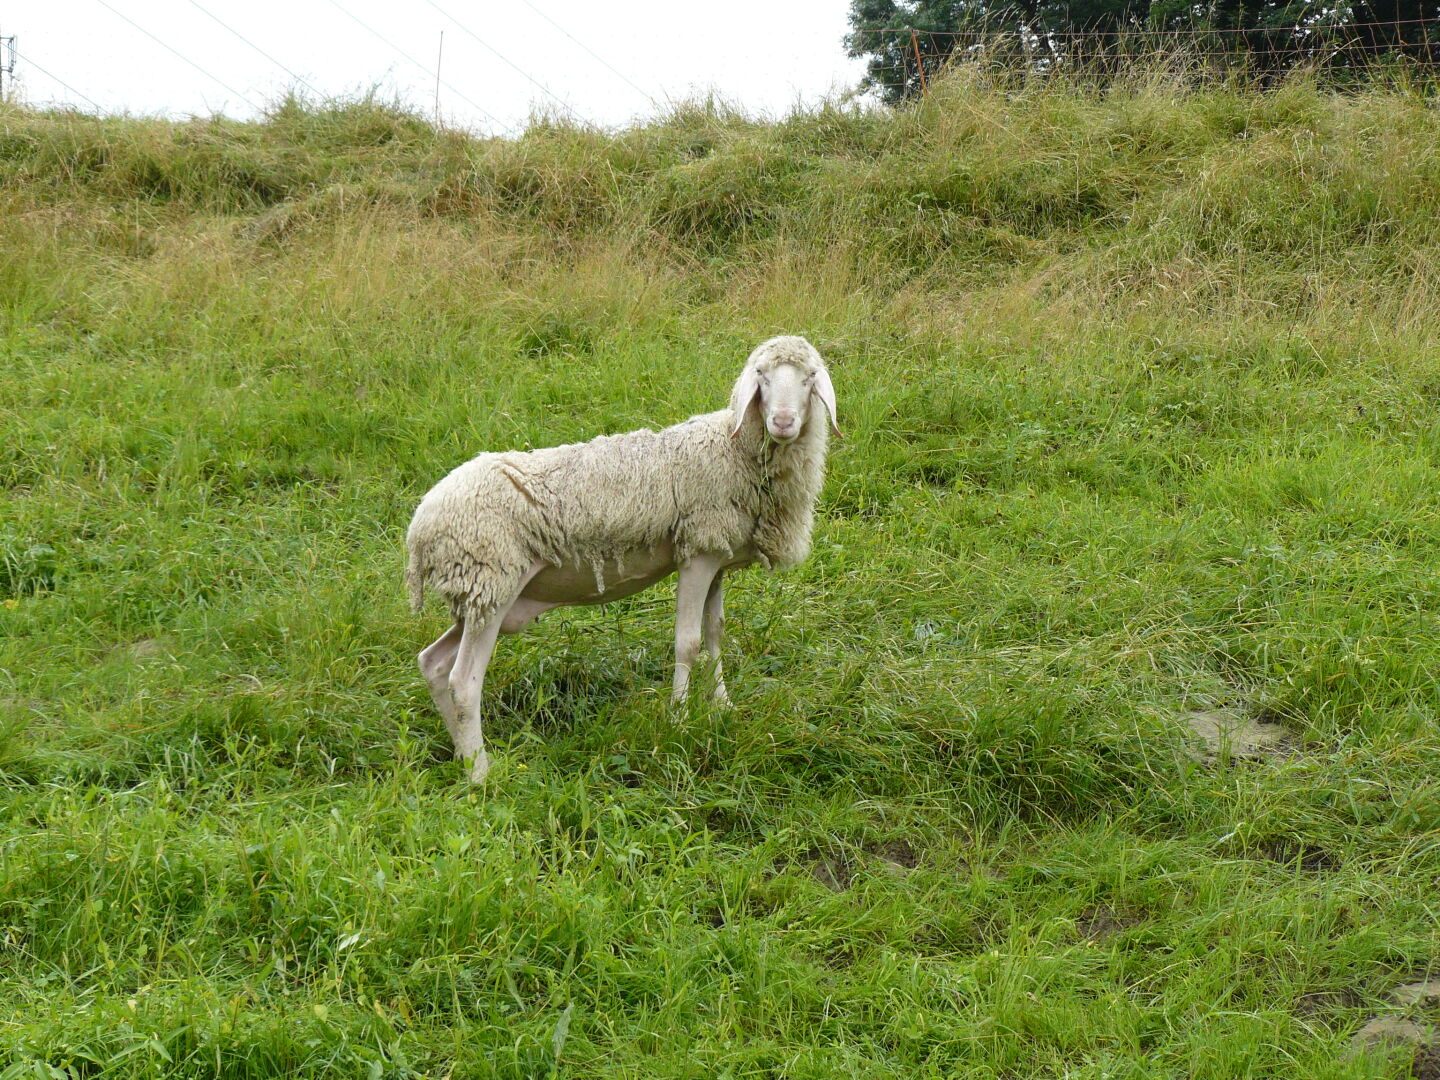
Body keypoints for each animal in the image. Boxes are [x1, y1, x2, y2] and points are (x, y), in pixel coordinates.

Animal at [405, 335, 838, 781]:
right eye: (761, 376)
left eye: (810, 376)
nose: (783, 422)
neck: (732, 450)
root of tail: (420, 525)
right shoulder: (697, 554)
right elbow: (688, 642)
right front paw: (678, 720)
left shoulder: (716, 553)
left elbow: (715, 633)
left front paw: (722, 706)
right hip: (490, 581)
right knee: (463, 682)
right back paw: (480, 773)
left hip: (478, 594)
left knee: (433, 664)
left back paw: (462, 754)